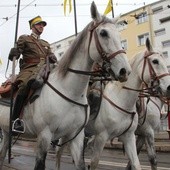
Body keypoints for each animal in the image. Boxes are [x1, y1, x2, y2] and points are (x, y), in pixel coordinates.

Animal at [0, 1, 131, 170]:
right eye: (103, 33)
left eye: (119, 35)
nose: (125, 71)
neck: (70, 91)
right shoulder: (44, 136)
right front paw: (14, 51)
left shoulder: (76, 137)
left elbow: (81, 164)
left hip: (6, 132)